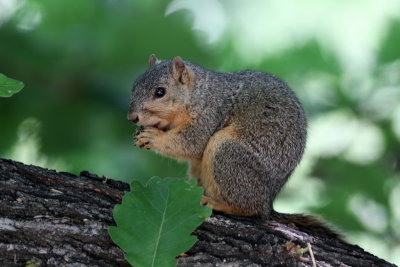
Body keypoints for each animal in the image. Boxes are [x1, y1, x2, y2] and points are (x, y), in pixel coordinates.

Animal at [128, 55, 340, 240]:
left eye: (160, 92)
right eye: (134, 86)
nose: (132, 118)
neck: (199, 94)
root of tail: (268, 203)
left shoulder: (210, 115)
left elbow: (192, 143)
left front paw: (153, 137)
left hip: (227, 153)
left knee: (249, 209)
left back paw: (217, 203)